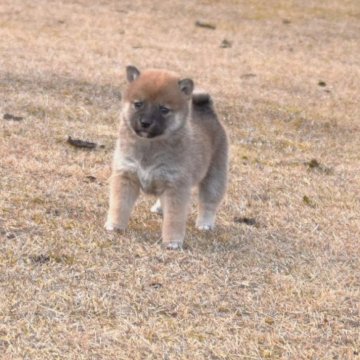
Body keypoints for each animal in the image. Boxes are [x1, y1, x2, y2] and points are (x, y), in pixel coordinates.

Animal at [104, 66, 228, 249]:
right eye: (138, 104)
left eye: (163, 109)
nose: (145, 122)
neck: (150, 147)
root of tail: (208, 112)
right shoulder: (126, 176)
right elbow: (120, 205)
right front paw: (115, 226)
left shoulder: (175, 186)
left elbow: (173, 219)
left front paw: (173, 242)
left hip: (214, 176)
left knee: (209, 203)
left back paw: (205, 224)